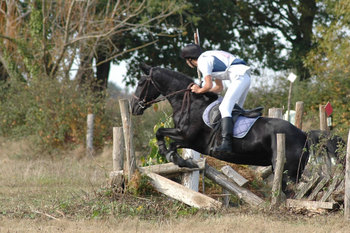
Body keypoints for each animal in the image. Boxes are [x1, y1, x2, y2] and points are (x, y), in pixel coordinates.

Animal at [131, 63, 308, 193]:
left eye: (140, 83)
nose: (133, 107)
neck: (191, 102)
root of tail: (303, 135)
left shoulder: (187, 136)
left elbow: (162, 134)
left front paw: (173, 156)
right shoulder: (188, 140)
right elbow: (165, 138)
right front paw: (179, 159)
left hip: (287, 171)